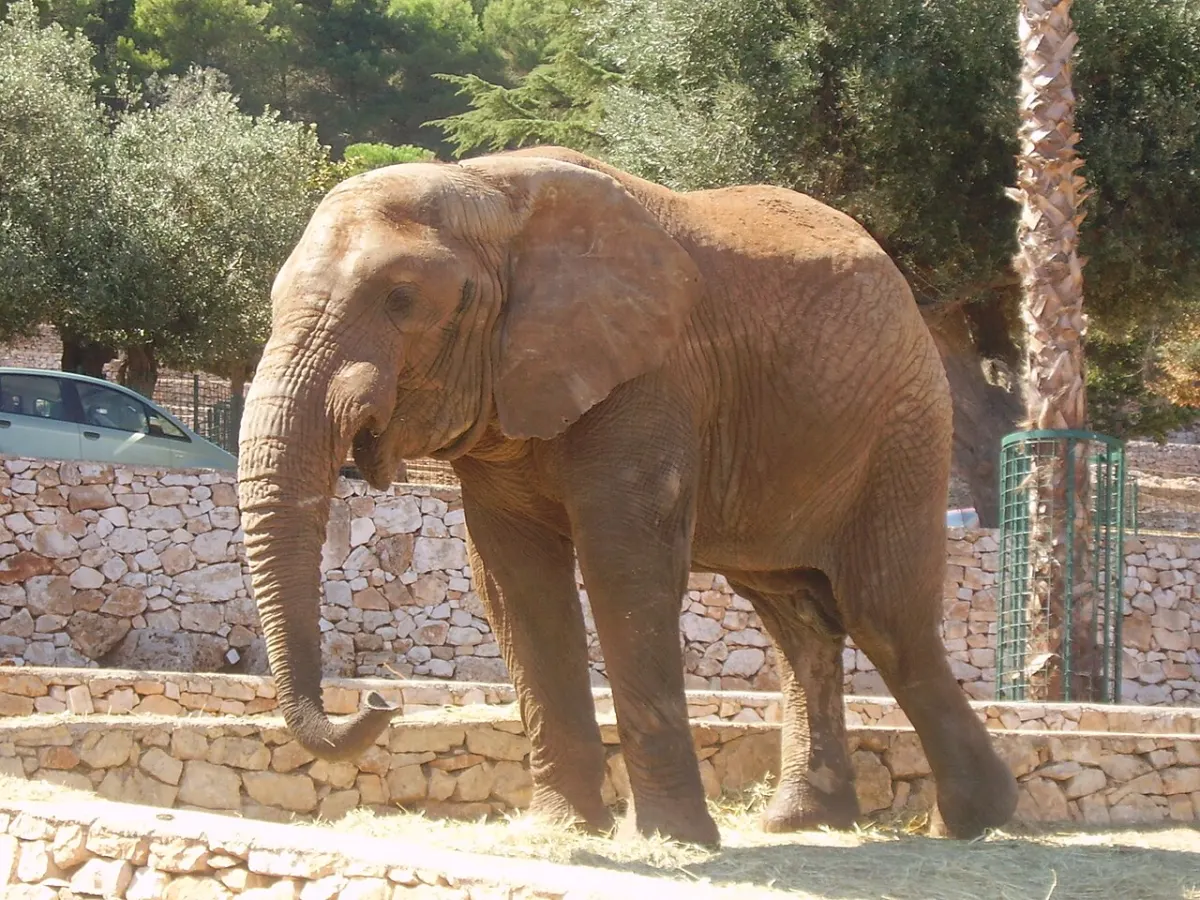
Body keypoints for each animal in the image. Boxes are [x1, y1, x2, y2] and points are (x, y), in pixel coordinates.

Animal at [237, 145, 1018, 847]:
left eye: (401, 301)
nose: (378, 698)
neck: (488, 194)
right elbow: (517, 583)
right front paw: (566, 831)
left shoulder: (653, 377)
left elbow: (625, 569)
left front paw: (675, 841)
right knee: (798, 621)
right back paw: (806, 823)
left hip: (904, 427)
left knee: (885, 618)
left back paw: (974, 824)